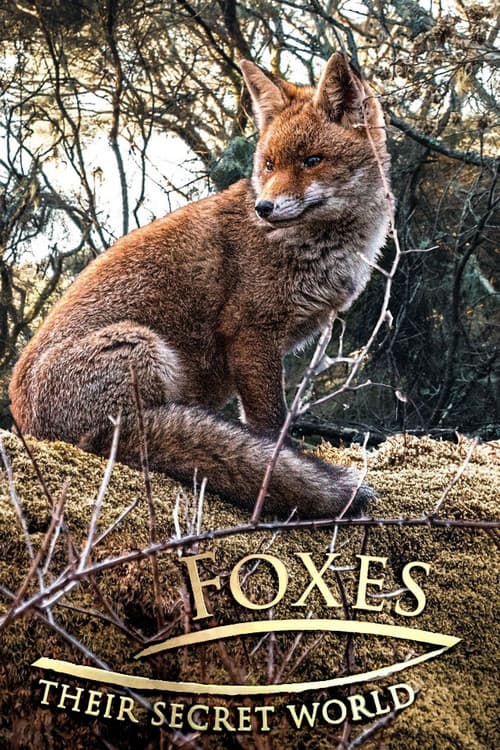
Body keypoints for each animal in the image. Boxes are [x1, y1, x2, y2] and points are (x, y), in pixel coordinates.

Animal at [9, 53, 390, 519]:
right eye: (269, 165)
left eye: (312, 160)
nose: (264, 208)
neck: (318, 248)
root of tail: (29, 425)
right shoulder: (251, 333)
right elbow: (270, 424)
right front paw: (280, 463)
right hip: (141, 347)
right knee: (122, 440)